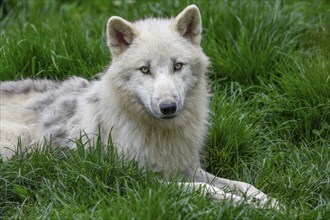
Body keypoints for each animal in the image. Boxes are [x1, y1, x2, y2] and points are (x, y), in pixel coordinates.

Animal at [0, 4, 278, 208]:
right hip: (20, 141)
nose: (168, 107)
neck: (161, 135)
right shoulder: (138, 183)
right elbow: (207, 190)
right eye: (145, 70)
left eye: (178, 65)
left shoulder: (188, 169)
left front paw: (269, 202)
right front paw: (242, 205)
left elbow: (242, 185)